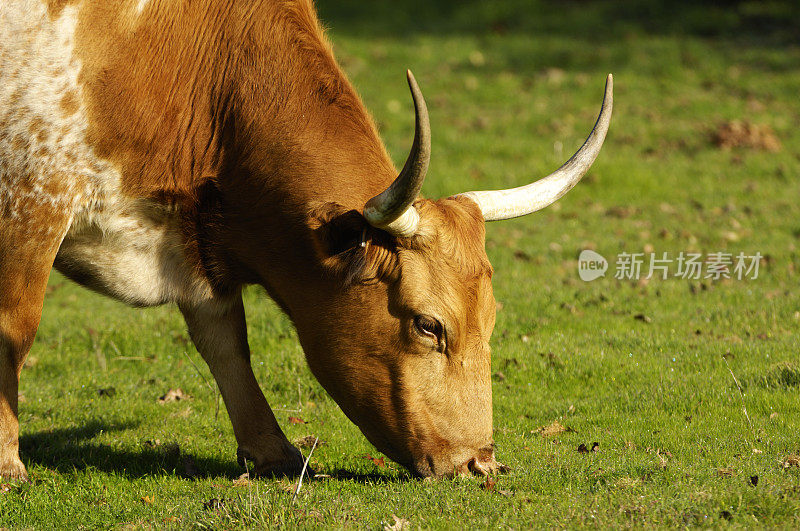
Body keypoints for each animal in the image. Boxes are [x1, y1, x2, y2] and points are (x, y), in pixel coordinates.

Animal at [0, 0, 612, 482]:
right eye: (428, 325)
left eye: (492, 317)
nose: (477, 463)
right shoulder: (35, 192)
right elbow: (15, 333)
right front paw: (9, 464)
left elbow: (225, 341)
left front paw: (273, 451)